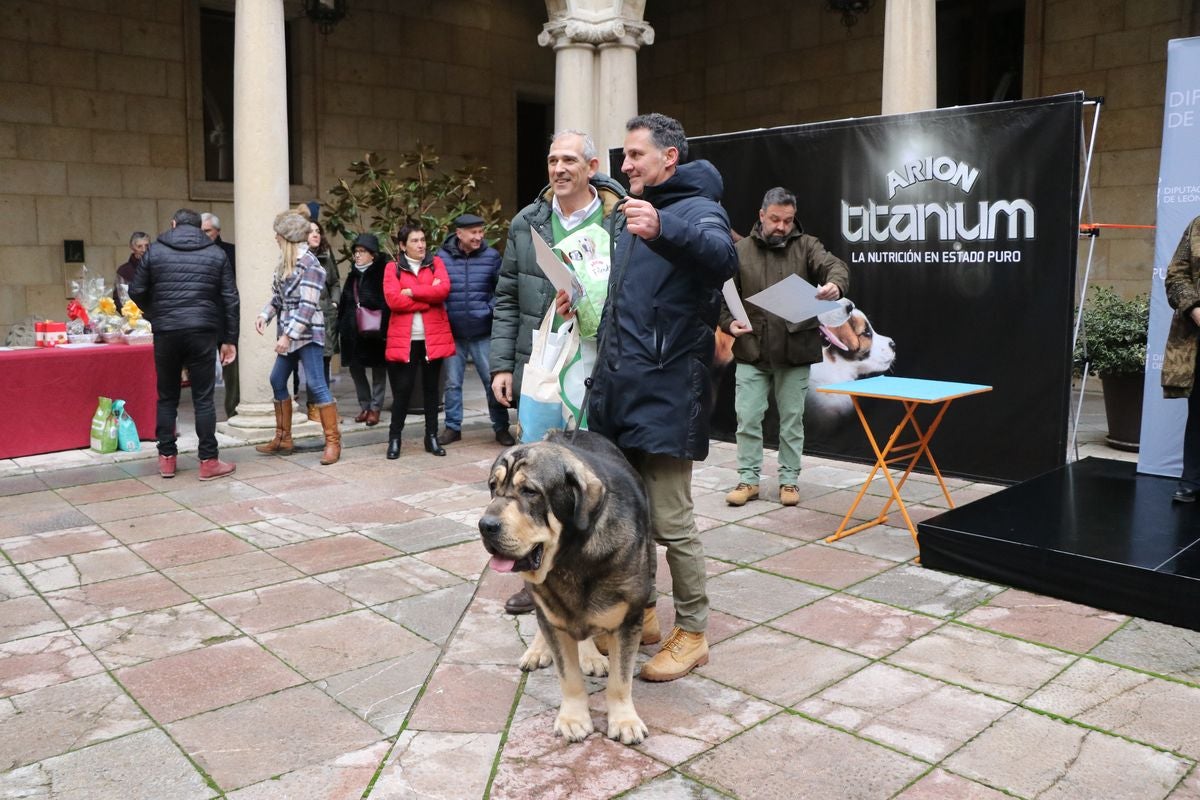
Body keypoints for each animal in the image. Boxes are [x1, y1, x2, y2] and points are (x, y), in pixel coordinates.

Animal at [475, 431, 652, 743]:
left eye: (529, 491)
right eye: (493, 487)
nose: (485, 525)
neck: (571, 557)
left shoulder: (629, 620)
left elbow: (620, 680)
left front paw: (624, 720)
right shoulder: (552, 611)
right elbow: (568, 676)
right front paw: (574, 718)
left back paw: (591, 655)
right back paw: (538, 651)